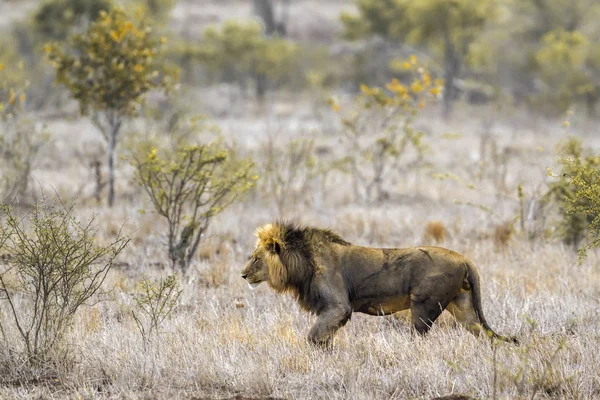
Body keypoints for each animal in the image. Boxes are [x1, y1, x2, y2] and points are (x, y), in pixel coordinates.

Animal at [240, 220, 516, 346]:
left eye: (255, 258)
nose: (242, 275)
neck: (301, 263)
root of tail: (465, 259)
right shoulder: (330, 310)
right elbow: (324, 336)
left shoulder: (338, 307)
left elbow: (314, 335)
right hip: (463, 307)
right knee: (483, 332)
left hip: (423, 305)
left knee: (418, 335)